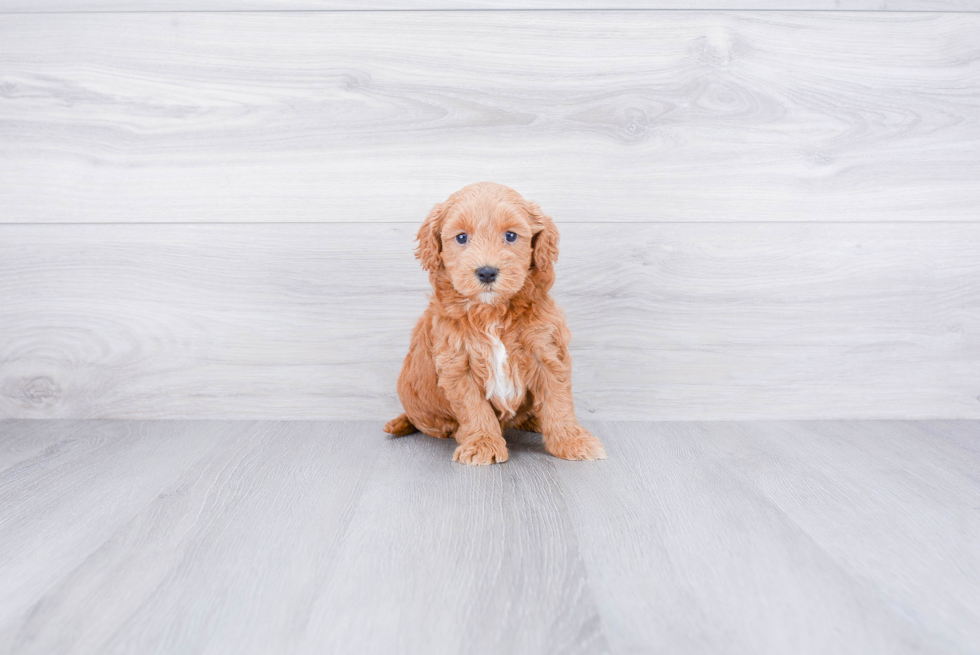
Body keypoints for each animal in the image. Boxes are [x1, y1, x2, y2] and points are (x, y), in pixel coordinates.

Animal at [384, 181, 604, 466]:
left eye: (510, 236)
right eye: (461, 238)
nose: (487, 272)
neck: (492, 313)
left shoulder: (547, 349)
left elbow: (558, 401)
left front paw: (572, 440)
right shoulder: (456, 362)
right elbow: (473, 407)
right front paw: (482, 443)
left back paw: (535, 421)